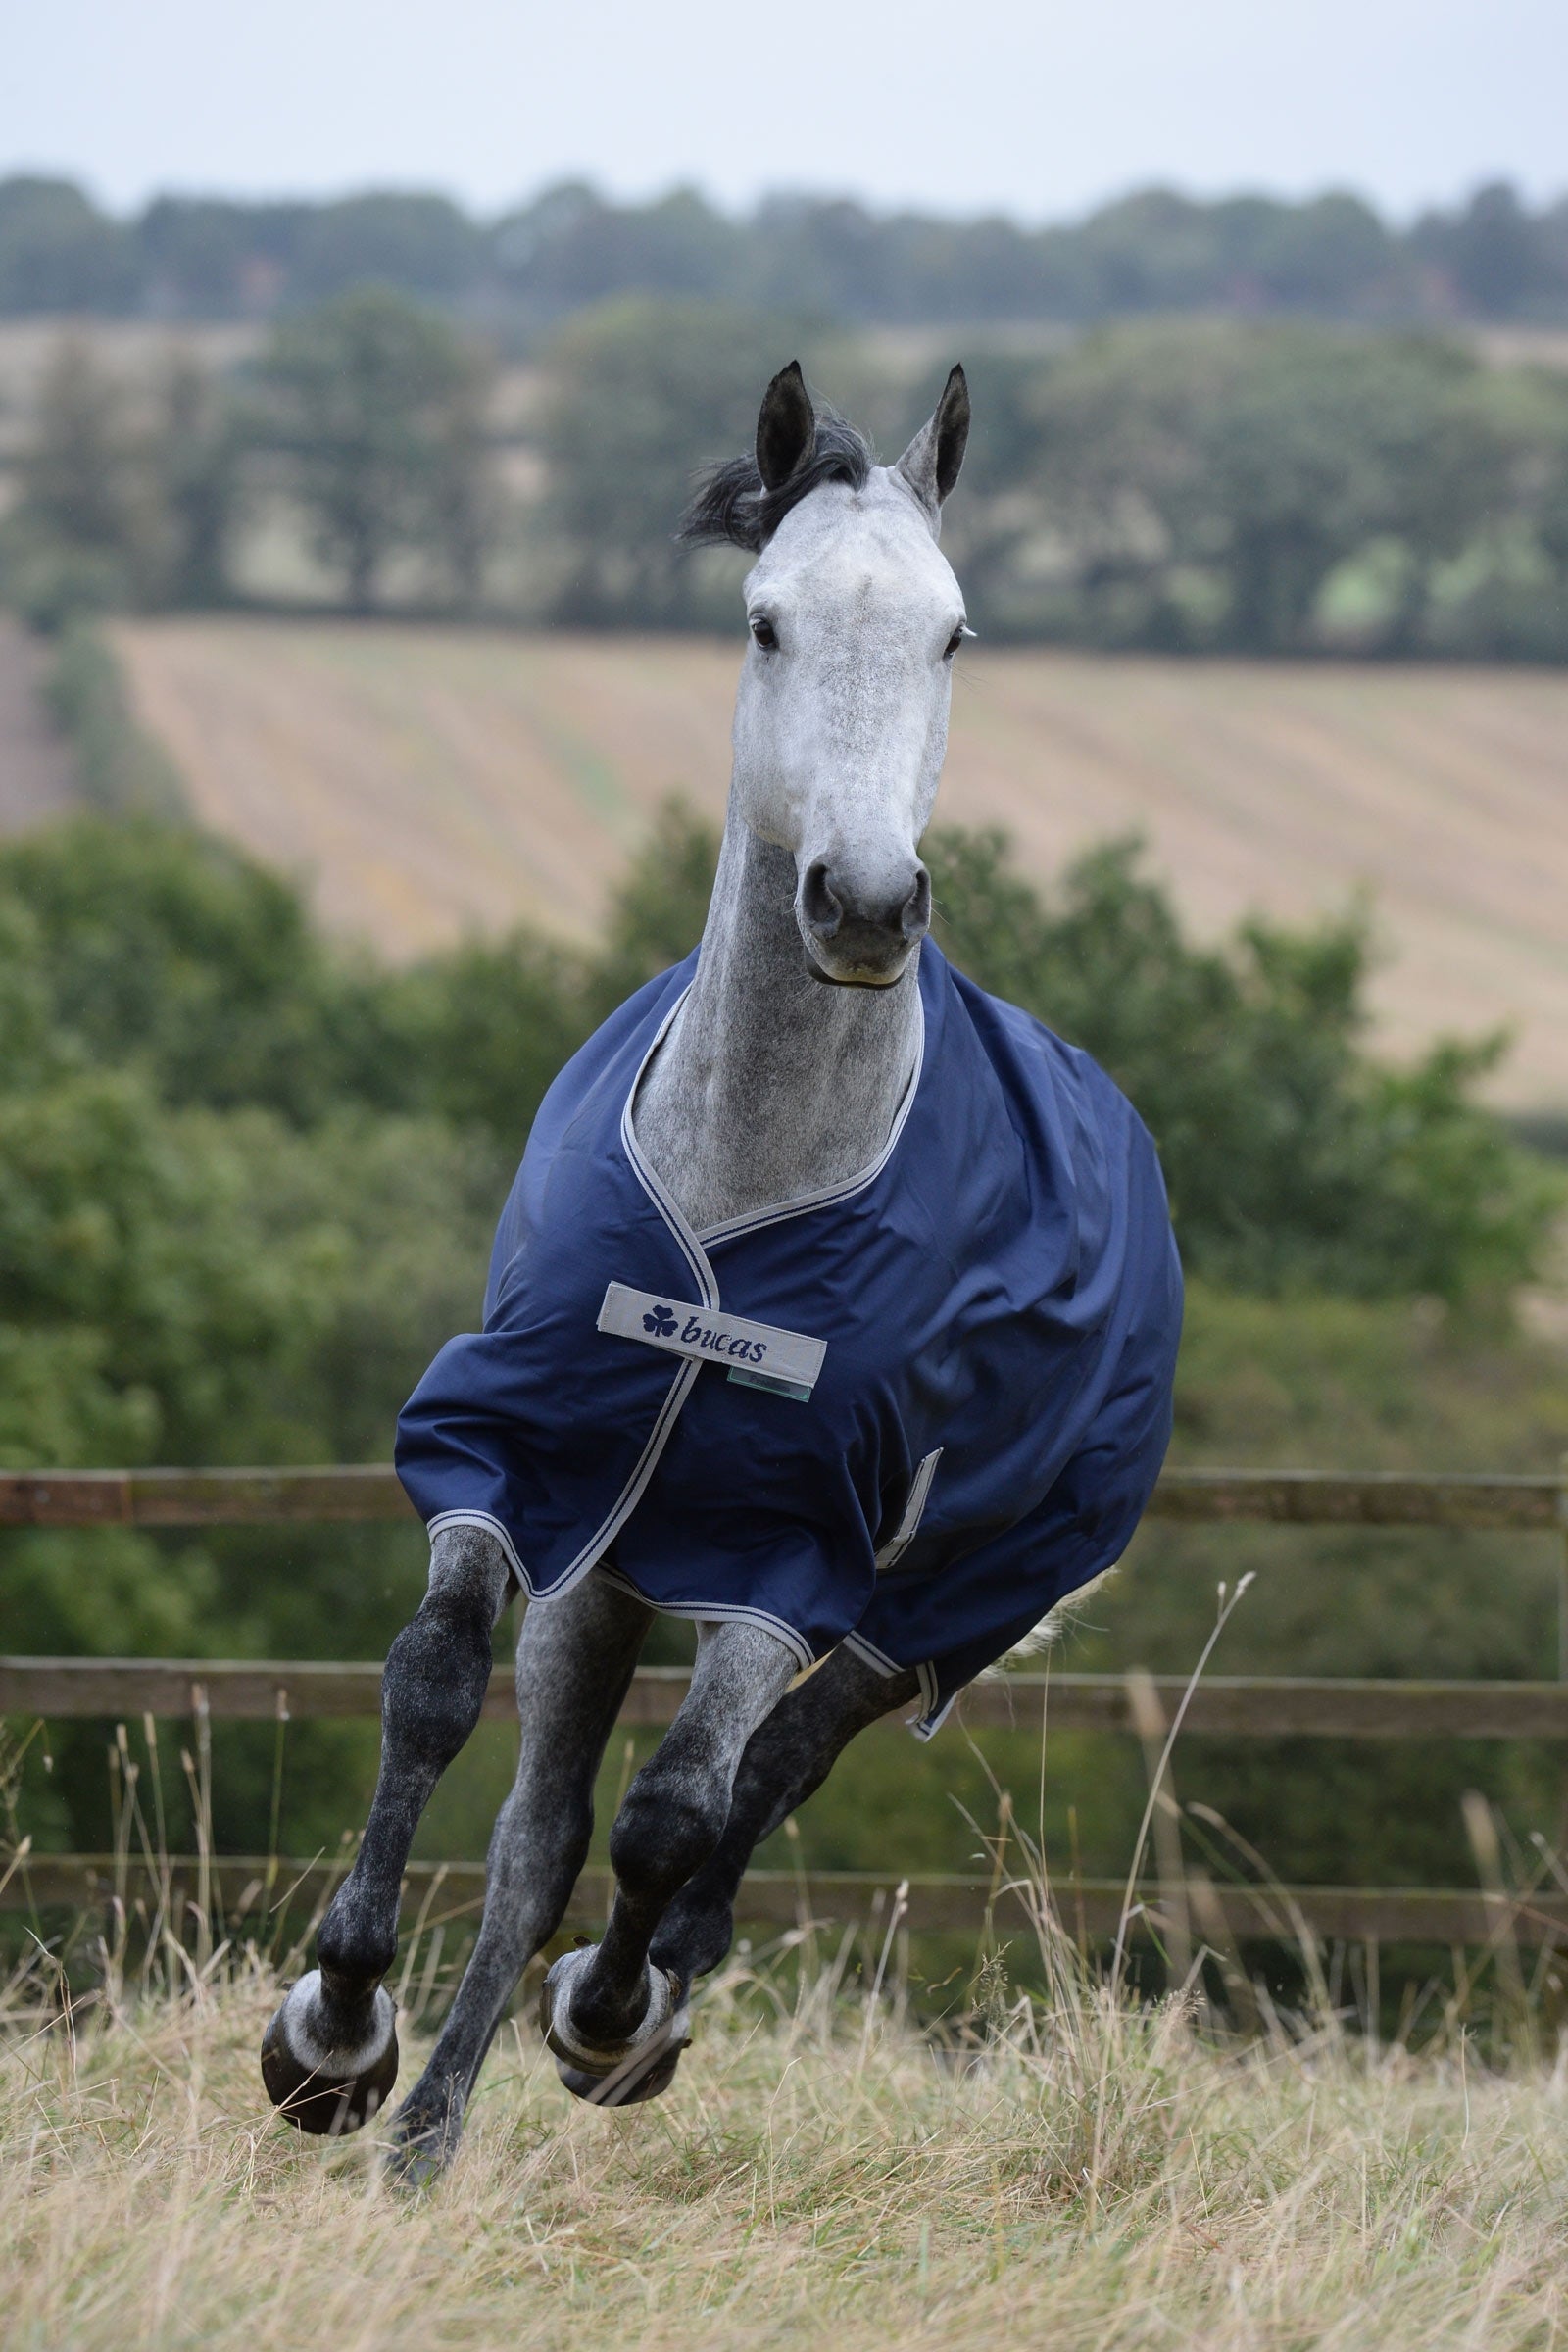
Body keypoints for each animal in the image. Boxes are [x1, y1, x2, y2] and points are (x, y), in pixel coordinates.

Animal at [260, 361, 1183, 2181]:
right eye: (767, 622)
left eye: (955, 634)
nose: (868, 904)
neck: (745, 1195)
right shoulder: (535, 1471)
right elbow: (431, 1691)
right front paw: (332, 2035)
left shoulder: (785, 1551)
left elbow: (681, 1807)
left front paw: (609, 2013)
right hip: (622, 1574)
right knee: (542, 1837)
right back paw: (426, 2133)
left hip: (940, 1605)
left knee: (753, 1787)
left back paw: (628, 2016)